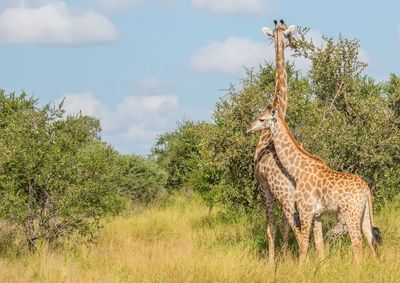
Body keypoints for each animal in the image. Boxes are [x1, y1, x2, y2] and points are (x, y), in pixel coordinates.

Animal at [247, 107, 382, 266]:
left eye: (262, 119)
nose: (249, 128)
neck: (297, 171)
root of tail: (366, 189)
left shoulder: (305, 209)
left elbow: (304, 243)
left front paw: (300, 268)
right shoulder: (317, 214)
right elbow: (319, 243)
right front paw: (321, 267)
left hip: (350, 213)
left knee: (357, 241)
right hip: (364, 212)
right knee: (370, 237)